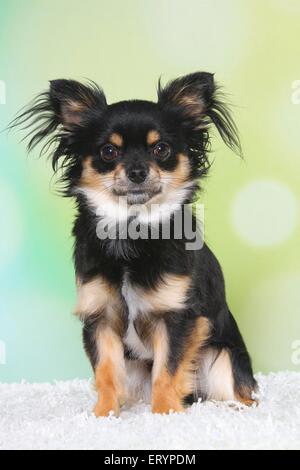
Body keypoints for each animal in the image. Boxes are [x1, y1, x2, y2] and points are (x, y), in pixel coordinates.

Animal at [10, 72, 256, 414]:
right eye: (108, 152)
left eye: (161, 149)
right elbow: (106, 372)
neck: (132, 228)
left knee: (241, 395)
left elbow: (167, 370)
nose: (137, 171)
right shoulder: (100, 316)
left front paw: (165, 413)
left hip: (220, 358)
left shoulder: (178, 318)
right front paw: (103, 414)